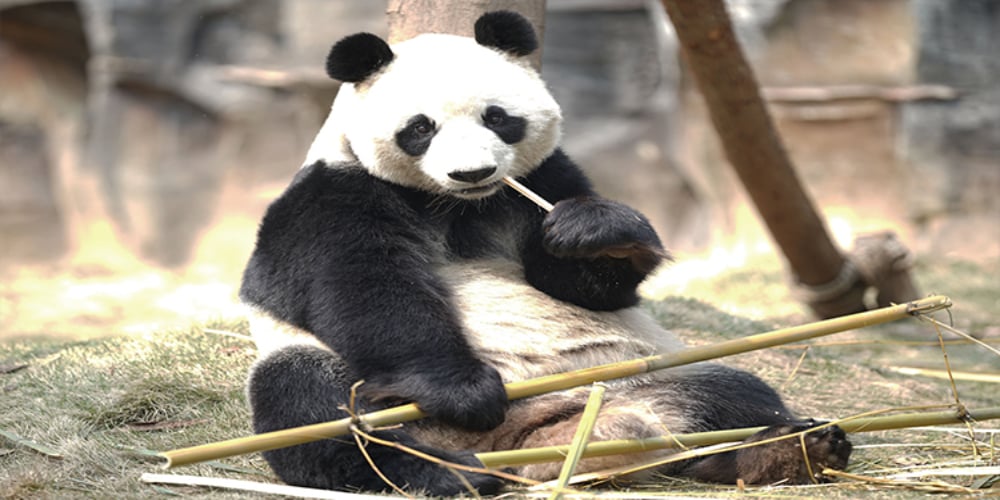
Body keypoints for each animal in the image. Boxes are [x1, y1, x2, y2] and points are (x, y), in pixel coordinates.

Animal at [240, 11, 852, 496]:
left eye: (497, 117)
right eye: (420, 128)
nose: (473, 173)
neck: (457, 207)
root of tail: (519, 444)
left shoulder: (544, 179)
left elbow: (577, 282)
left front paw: (597, 232)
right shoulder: (333, 196)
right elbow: (363, 286)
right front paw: (462, 390)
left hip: (620, 377)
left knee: (730, 396)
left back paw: (788, 449)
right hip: (351, 385)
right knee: (315, 410)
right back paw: (444, 473)